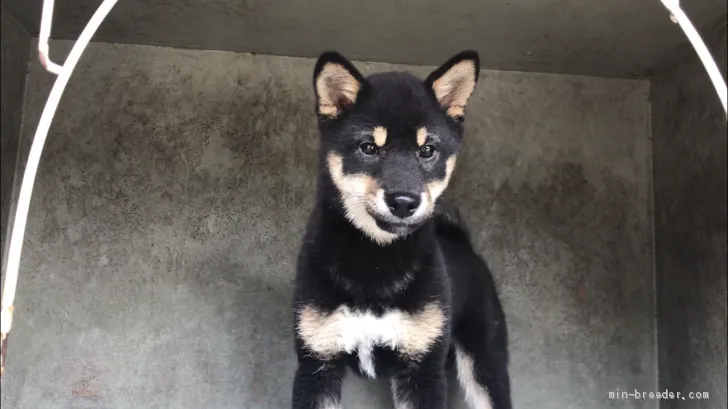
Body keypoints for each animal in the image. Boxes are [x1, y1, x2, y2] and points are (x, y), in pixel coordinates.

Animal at [292, 51, 512, 408]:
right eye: (369, 147)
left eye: (427, 150)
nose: (405, 202)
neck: (375, 263)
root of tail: (465, 247)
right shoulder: (317, 364)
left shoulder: (421, 370)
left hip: (484, 361)